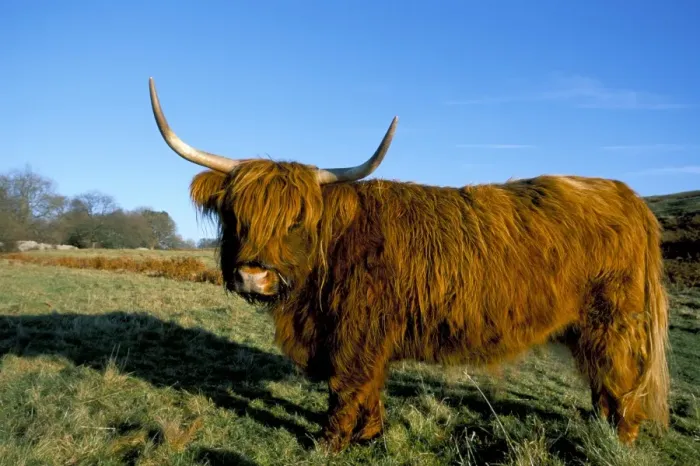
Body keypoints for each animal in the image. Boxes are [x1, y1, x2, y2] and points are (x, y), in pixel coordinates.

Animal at [148, 77, 670, 452]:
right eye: (237, 215)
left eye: (296, 220)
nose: (253, 276)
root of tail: (626, 195)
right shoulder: (364, 337)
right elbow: (369, 390)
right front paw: (369, 436)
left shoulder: (356, 334)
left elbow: (345, 389)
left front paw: (329, 443)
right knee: (602, 384)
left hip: (613, 321)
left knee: (621, 382)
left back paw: (619, 440)